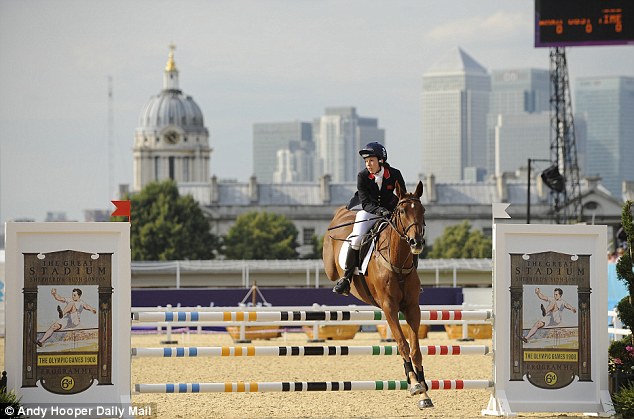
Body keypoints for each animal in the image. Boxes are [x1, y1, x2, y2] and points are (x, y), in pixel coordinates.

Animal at [320, 180, 430, 410]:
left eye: (422, 210)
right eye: (402, 211)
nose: (416, 243)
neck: (397, 261)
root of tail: (343, 211)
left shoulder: (412, 308)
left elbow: (415, 348)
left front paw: (424, 390)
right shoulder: (389, 308)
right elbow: (402, 344)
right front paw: (415, 384)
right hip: (330, 266)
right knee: (336, 269)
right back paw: (342, 283)